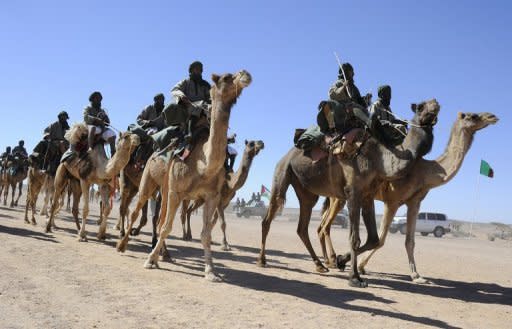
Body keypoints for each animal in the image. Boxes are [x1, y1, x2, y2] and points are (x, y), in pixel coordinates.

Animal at [140, 70, 252, 282]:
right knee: (155, 217)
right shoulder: (176, 191)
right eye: (226, 77)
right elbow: (167, 227)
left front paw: (211, 271)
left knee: (160, 220)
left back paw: (165, 255)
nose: (246, 75)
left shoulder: (212, 196)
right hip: (153, 182)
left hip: (167, 191)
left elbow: (206, 234)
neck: (203, 164)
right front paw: (149, 261)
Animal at [258, 98, 438, 286]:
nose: (434, 107)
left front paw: (340, 260)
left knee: (302, 227)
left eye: (436, 104)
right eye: (420, 107)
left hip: (307, 192)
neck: (379, 159)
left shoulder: (367, 196)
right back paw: (262, 260)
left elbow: (373, 239)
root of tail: (286, 155)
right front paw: (354, 278)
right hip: (281, 173)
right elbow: (355, 238)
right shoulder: (353, 192)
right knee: (269, 216)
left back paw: (320, 265)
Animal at [318, 111, 498, 280]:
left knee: (323, 226)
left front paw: (417, 276)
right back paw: (331, 261)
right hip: (340, 195)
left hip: (337, 195)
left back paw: (328, 261)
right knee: (326, 226)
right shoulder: (392, 201)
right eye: (473, 116)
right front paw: (353, 263)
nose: (492, 116)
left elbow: (410, 241)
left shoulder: (414, 202)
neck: (425, 172)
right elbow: (381, 240)